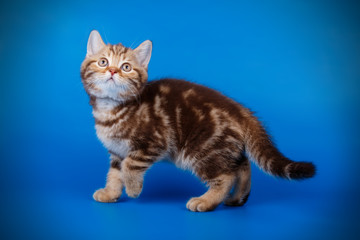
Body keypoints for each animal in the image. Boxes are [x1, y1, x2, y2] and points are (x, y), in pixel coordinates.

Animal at [79, 30, 316, 212]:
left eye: (126, 67)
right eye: (103, 62)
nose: (112, 70)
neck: (110, 110)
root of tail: (241, 110)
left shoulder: (153, 143)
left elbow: (130, 165)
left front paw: (133, 189)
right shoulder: (116, 152)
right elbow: (115, 172)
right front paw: (110, 193)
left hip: (203, 149)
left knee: (226, 176)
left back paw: (206, 201)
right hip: (224, 147)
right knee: (243, 165)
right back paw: (237, 198)